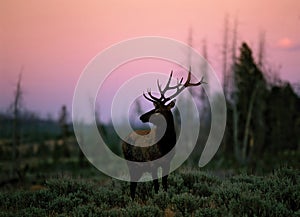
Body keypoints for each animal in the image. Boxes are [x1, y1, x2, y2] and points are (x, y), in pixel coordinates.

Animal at [121, 68, 204, 199]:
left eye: (158, 110)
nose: (141, 117)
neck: (165, 146)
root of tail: (123, 141)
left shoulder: (167, 163)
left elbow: (164, 185)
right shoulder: (152, 163)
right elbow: (156, 186)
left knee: (133, 185)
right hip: (131, 163)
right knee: (132, 185)